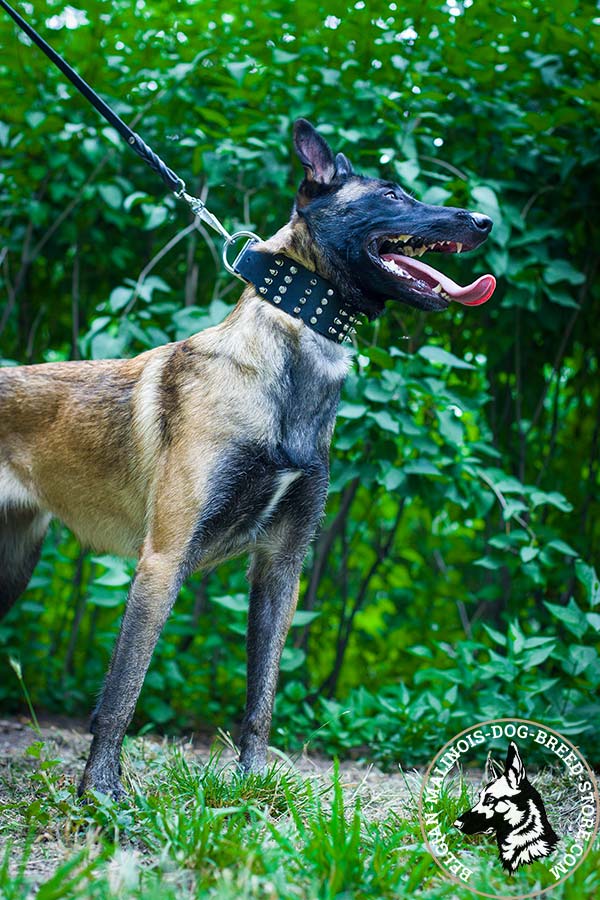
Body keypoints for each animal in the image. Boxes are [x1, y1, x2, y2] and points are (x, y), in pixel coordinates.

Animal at [0, 118, 494, 796]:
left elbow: (261, 696)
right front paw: (101, 794)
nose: (483, 220)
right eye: (392, 193)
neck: (288, 365)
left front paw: (252, 787)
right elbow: (123, 691)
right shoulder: (162, 561)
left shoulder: (281, 567)